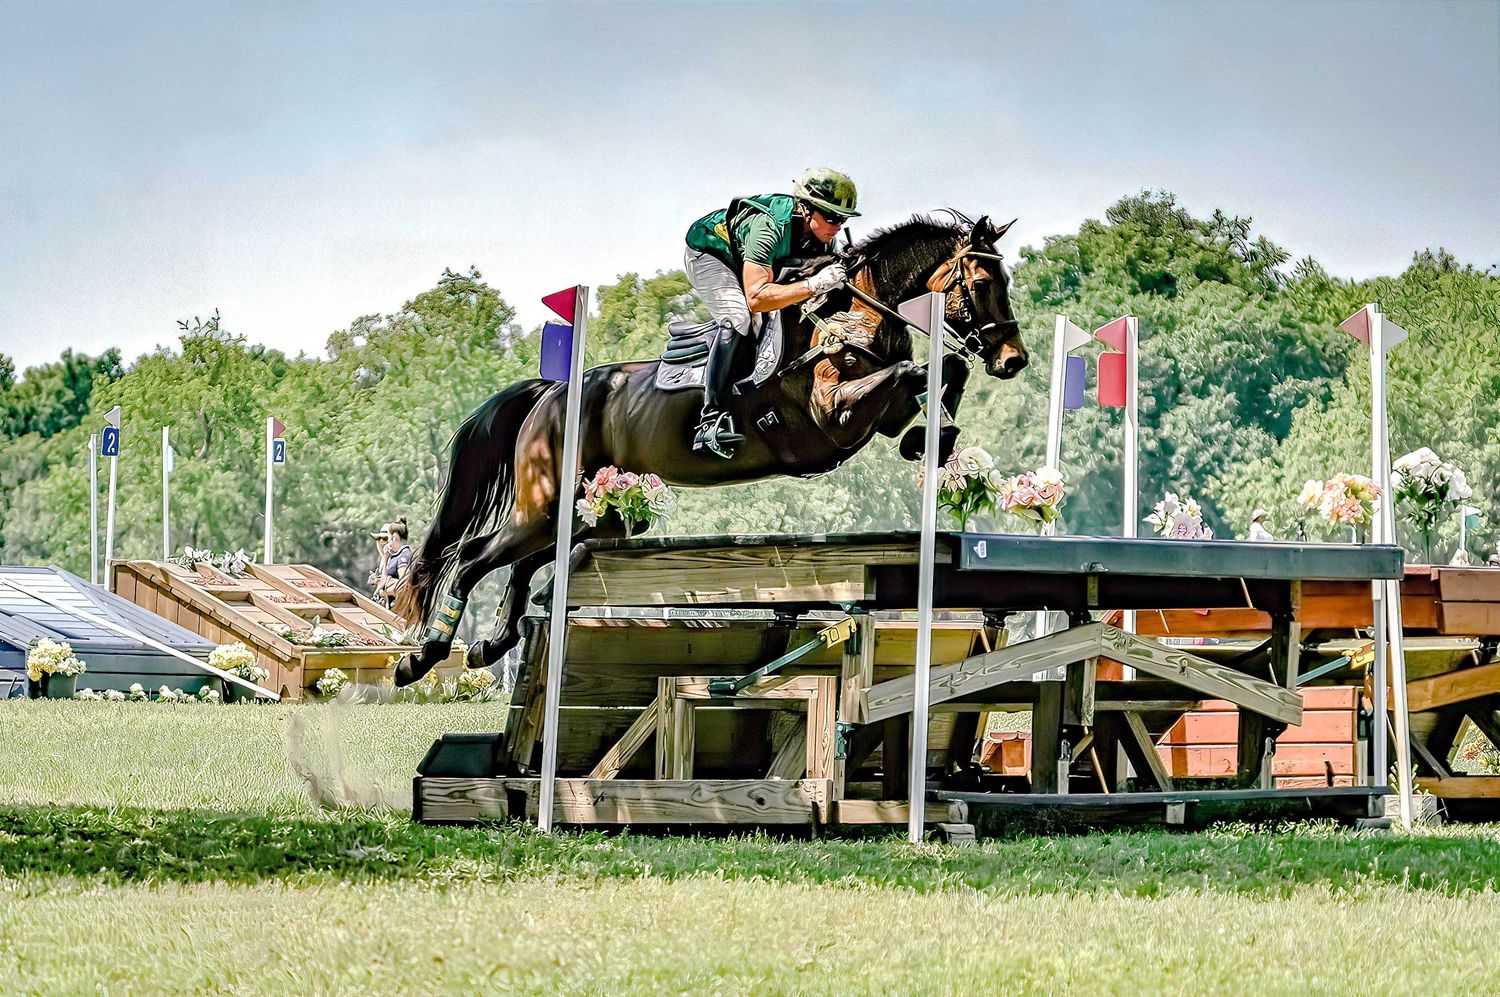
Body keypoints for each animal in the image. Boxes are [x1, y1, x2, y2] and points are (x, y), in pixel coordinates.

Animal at [393, 213, 1028, 684]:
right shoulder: (832, 414)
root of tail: (553, 392)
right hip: (544, 501)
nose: (1014, 360)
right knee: (473, 557)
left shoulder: (877, 415)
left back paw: (491, 644)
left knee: (527, 561)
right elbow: (908, 372)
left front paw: (933, 438)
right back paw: (421, 658)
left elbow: (936, 377)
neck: (854, 314)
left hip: (594, 514)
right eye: (981, 284)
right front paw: (931, 433)